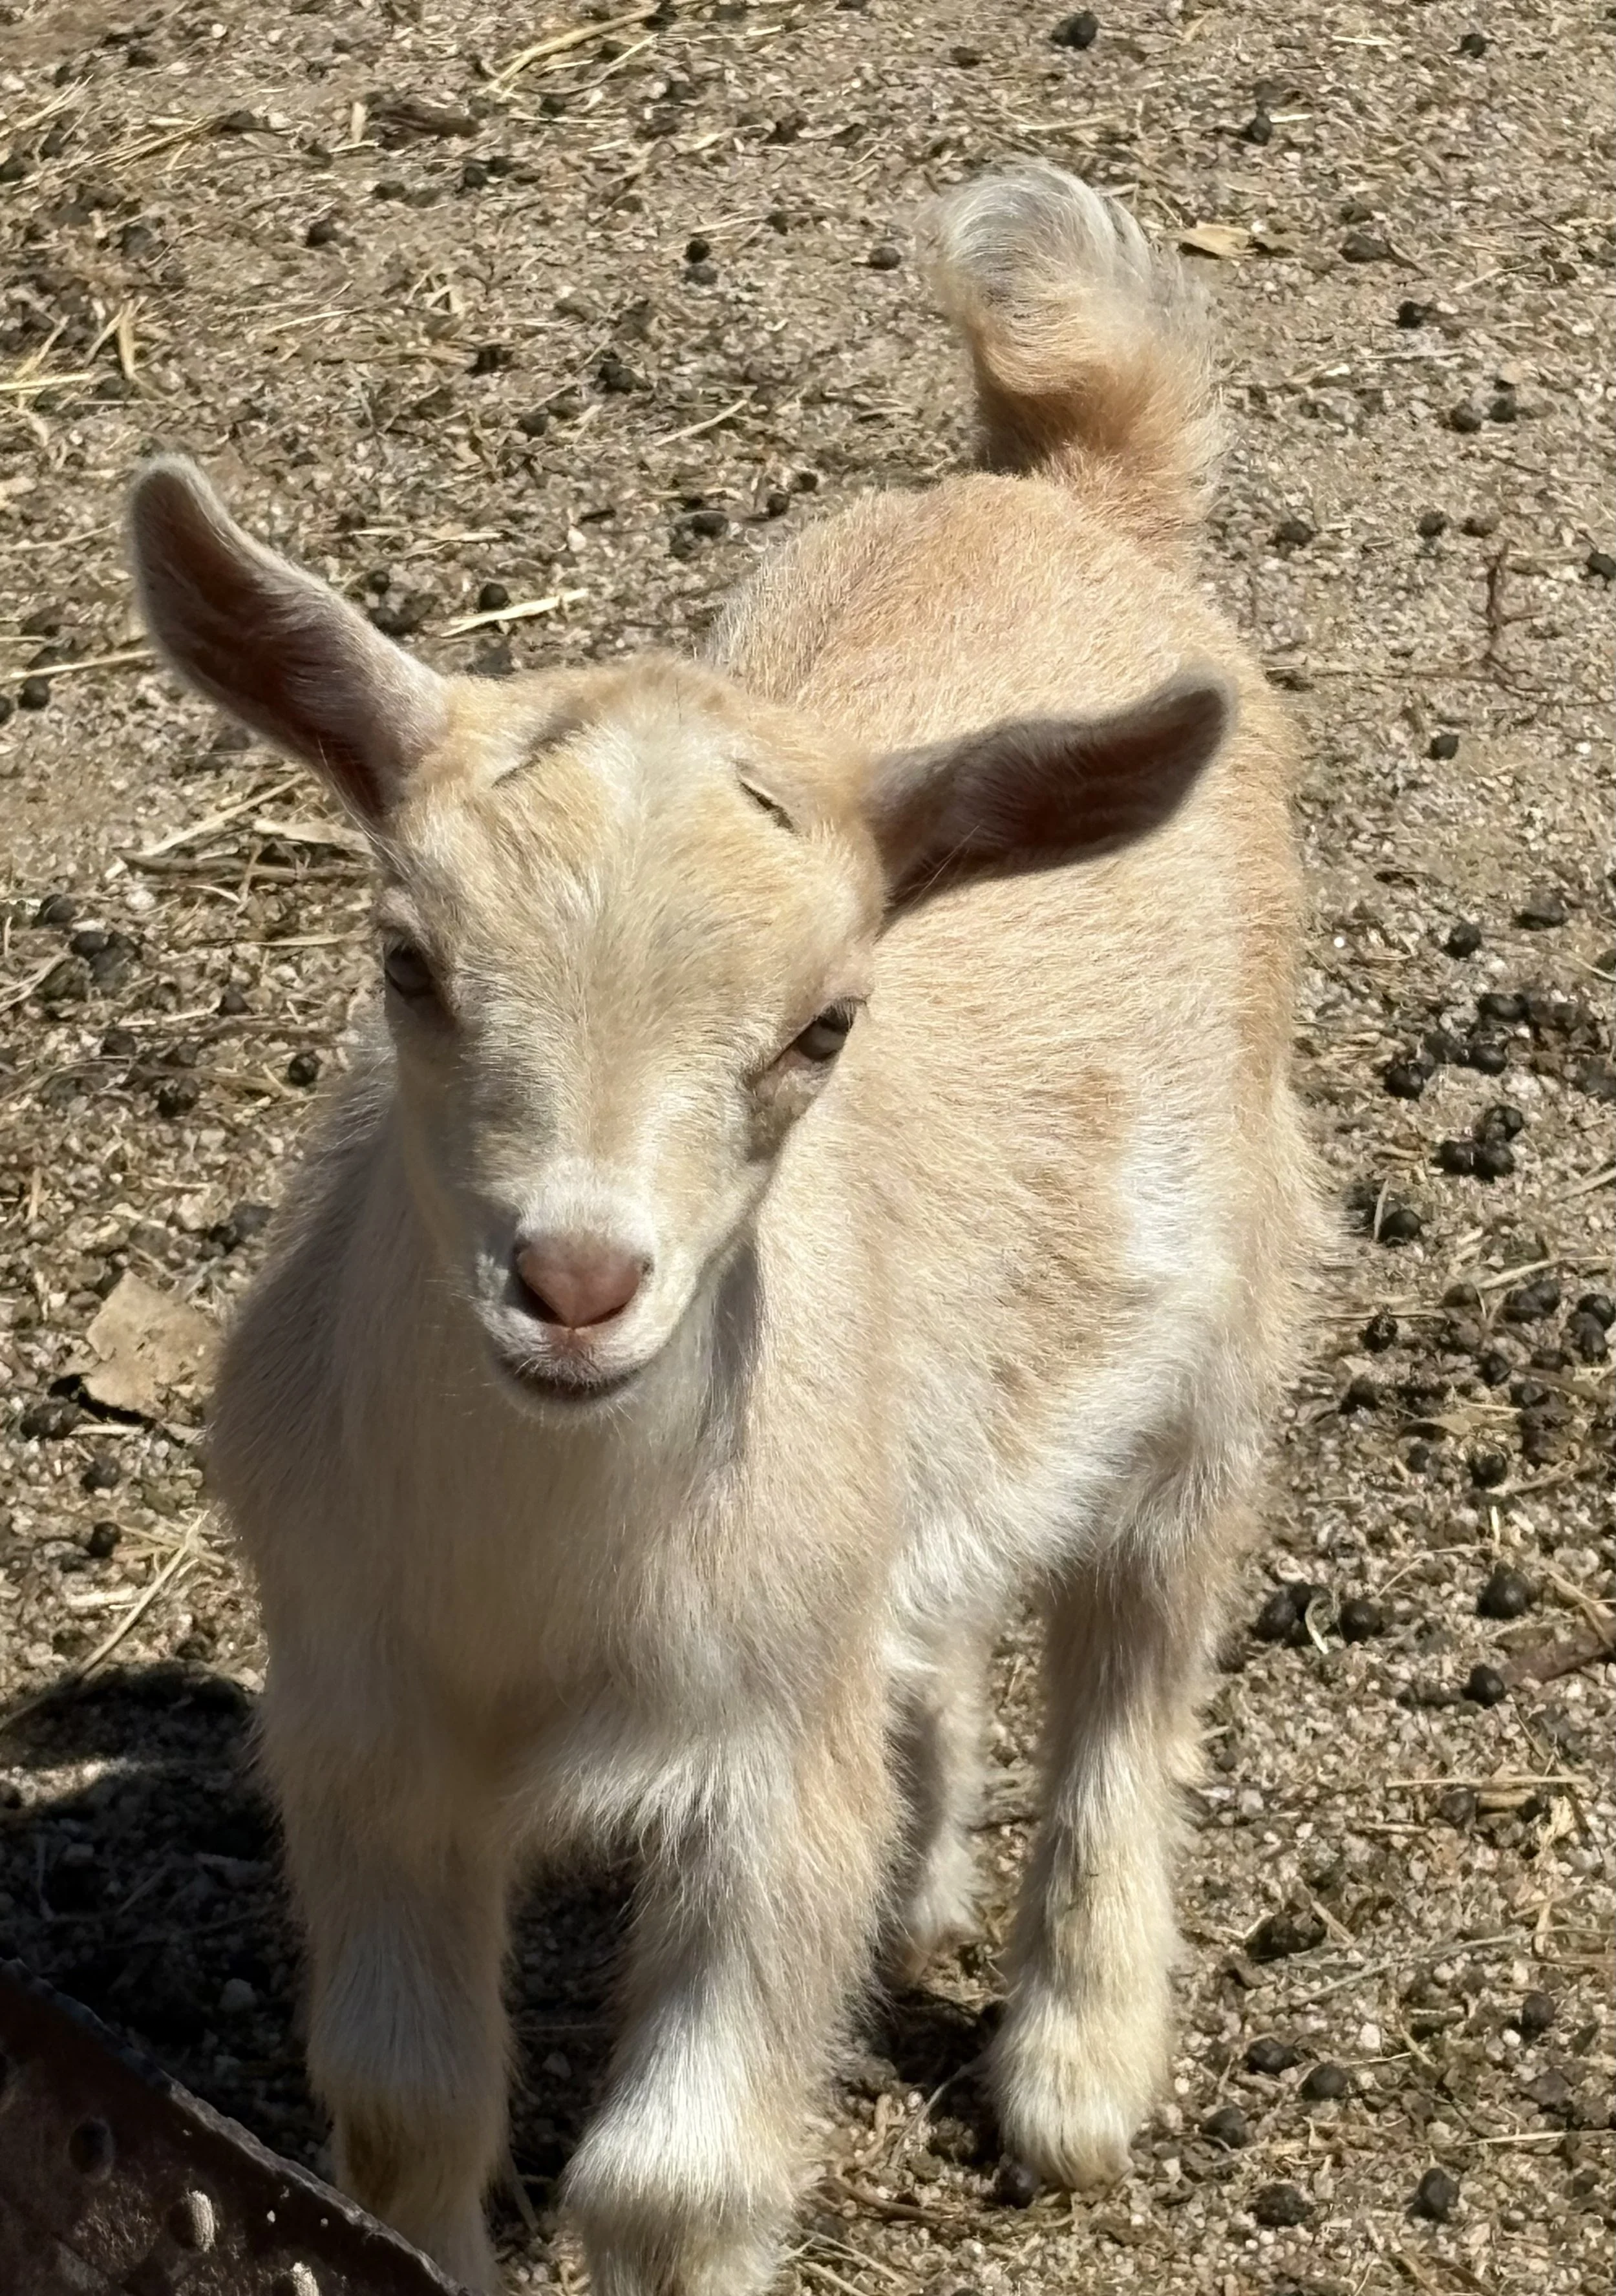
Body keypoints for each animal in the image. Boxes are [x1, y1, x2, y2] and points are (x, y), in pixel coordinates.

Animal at [127, 164, 1323, 2295]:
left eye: (821, 1027)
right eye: (406, 960)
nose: (575, 1284)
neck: (545, 1586)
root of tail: (1069, 487)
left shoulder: (765, 1764)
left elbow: (673, 2180)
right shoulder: (359, 1724)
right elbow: (405, 2106)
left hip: (1226, 1299)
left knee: (1138, 1637)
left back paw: (1075, 2061)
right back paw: (926, 1874)